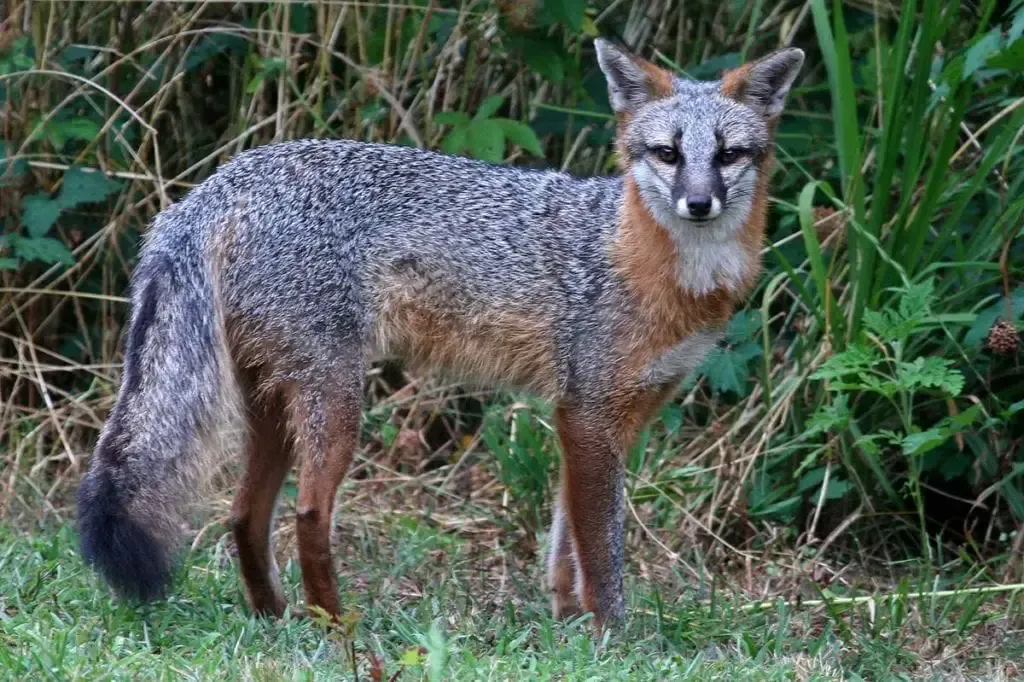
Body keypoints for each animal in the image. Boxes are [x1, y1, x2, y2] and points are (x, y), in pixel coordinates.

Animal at [76, 39, 803, 630]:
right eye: (668, 155)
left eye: (729, 156)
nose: (699, 204)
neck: (647, 260)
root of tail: (220, 183)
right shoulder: (590, 415)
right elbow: (602, 551)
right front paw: (612, 636)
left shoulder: (607, 418)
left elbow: (565, 543)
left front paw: (569, 625)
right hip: (337, 402)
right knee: (308, 515)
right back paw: (339, 627)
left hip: (275, 410)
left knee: (243, 516)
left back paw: (276, 619)